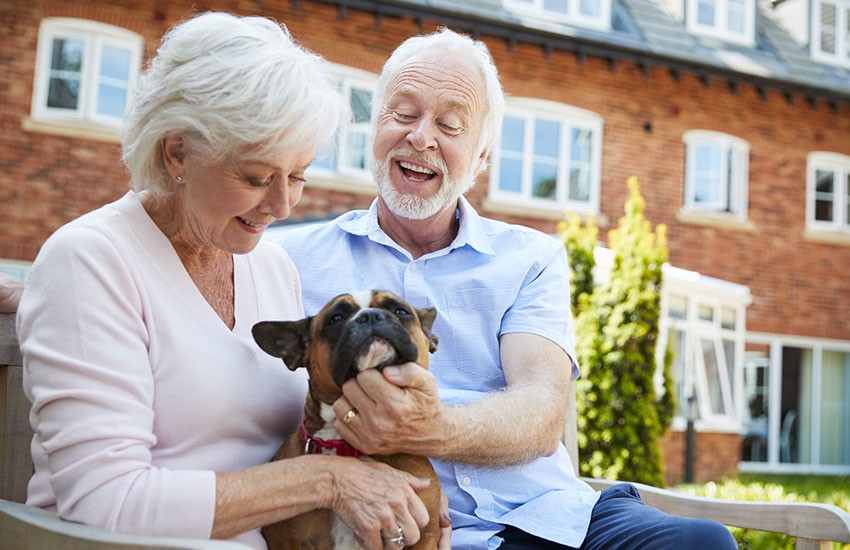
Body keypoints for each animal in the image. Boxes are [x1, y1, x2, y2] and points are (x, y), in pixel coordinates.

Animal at [250, 292, 438, 548]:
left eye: (400, 311)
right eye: (336, 318)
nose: (370, 316)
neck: (344, 445)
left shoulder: (425, 537)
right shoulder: (286, 541)